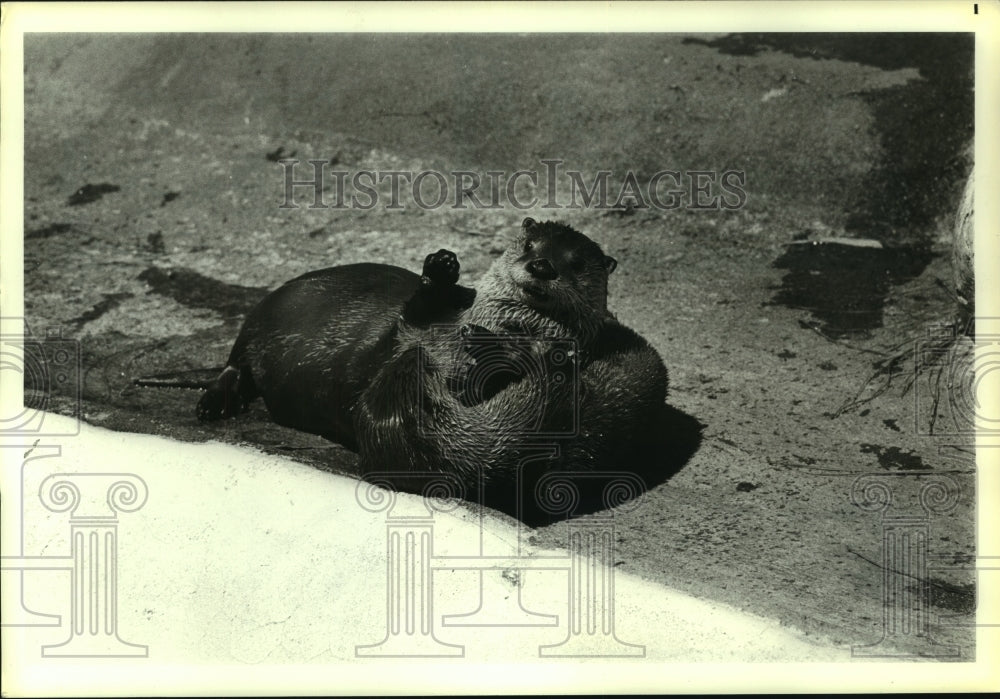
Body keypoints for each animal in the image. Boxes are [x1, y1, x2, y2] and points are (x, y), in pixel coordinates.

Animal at [197, 218, 669, 510]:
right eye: (529, 245)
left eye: (577, 263)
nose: (541, 265)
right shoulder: (415, 327)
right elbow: (415, 312)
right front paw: (441, 267)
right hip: (260, 319)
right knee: (235, 362)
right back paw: (212, 402)